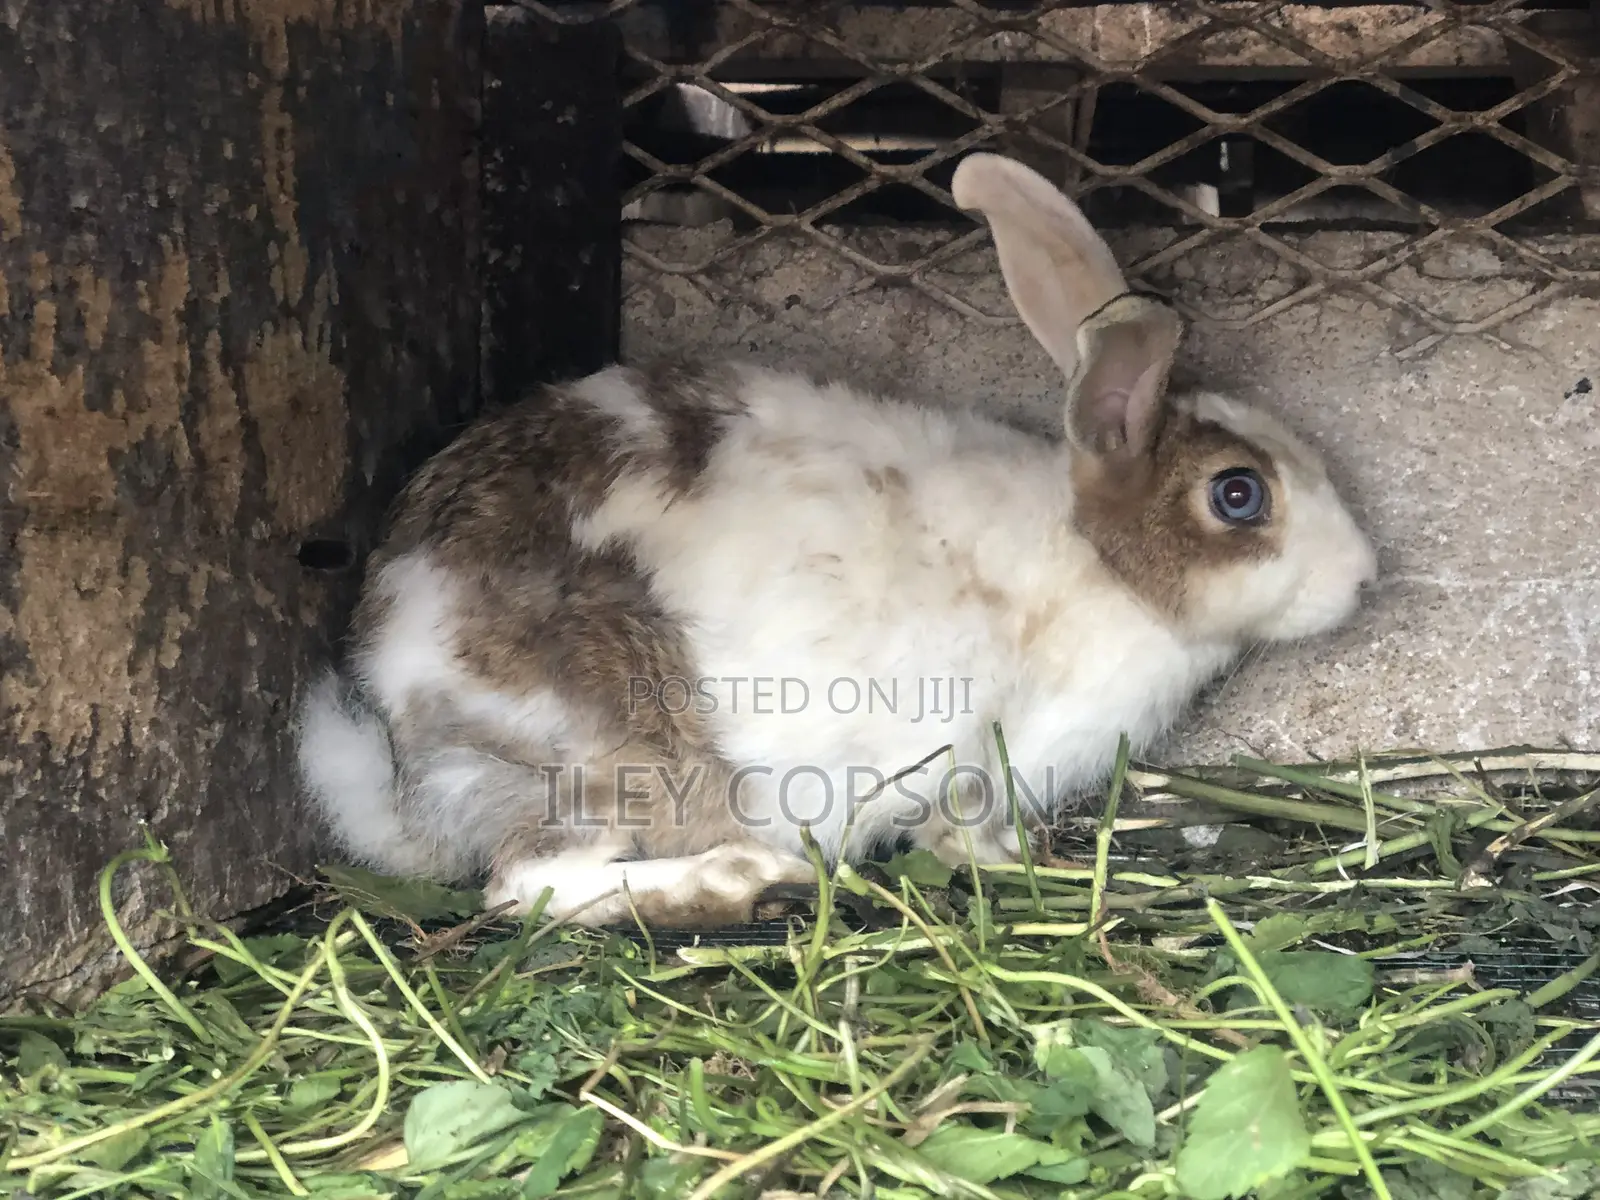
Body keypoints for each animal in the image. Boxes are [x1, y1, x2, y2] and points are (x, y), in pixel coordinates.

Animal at [295, 151, 1379, 929]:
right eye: (1238, 495)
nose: (1365, 578)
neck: (1103, 564)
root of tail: (402, 734)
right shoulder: (985, 756)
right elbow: (965, 834)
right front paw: (1019, 865)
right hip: (621, 762)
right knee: (528, 887)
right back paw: (743, 881)